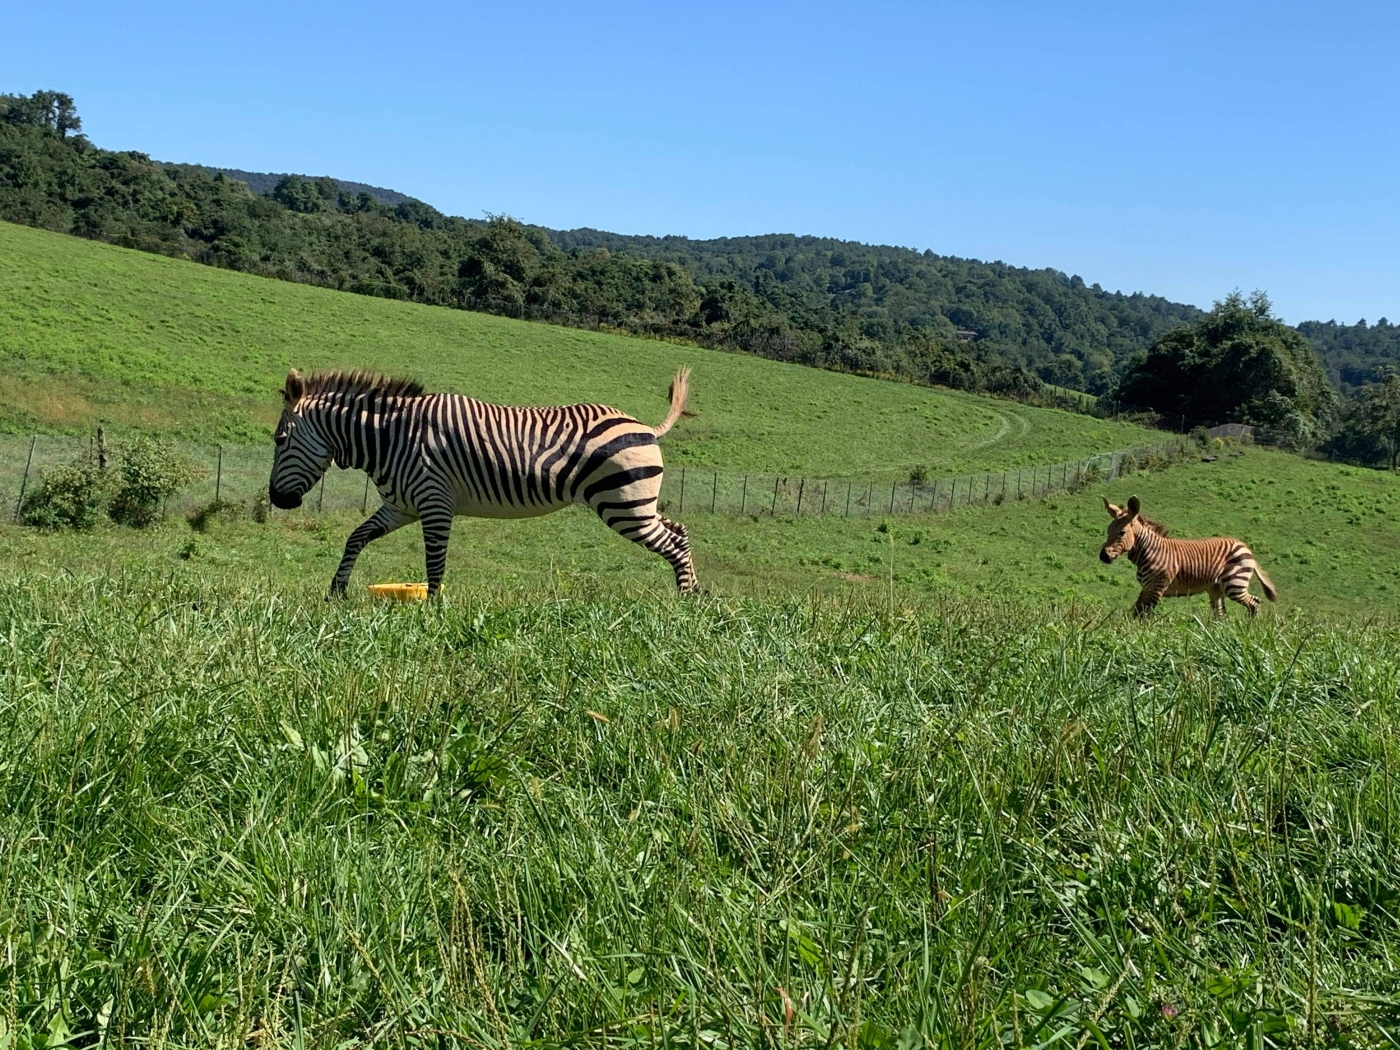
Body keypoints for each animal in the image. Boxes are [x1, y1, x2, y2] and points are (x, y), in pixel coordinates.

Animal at [266, 369, 694, 599]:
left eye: (279, 440)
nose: (276, 500)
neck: (391, 438)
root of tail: (646, 427)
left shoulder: (435, 503)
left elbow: (434, 564)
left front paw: (433, 614)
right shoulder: (402, 506)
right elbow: (356, 537)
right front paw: (336, 591)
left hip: (622, 506)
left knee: (672, 543)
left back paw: (685, 603)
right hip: (635, 505)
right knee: (680, 532)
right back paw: (692, 595)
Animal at [1097, 498, 1276, 621]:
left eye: (1122, 533)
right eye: (1108, 531)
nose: (1103, 557)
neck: (1148, 551)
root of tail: (1245, 546)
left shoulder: (1156, 588)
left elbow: (1144, 615)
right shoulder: (1147, 587)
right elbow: (1135, 611)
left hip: (1234, 583)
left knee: (1254, 602)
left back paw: (1248, 628)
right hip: (1216, 588)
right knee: (1221, 616)